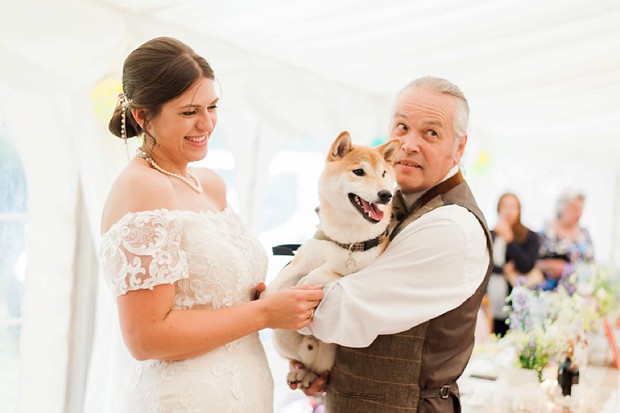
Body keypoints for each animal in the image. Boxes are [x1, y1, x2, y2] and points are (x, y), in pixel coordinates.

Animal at [262, 131, 400, 386]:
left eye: (384, 174)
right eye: (359, 172)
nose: (386, 195)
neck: (348, 242)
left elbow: (328, 273)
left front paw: (309, 281)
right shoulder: (296, 264)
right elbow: (273, 289)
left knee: (317, 368)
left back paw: (307, 375)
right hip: (282, 338)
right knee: (297, 359)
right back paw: (298, 372)